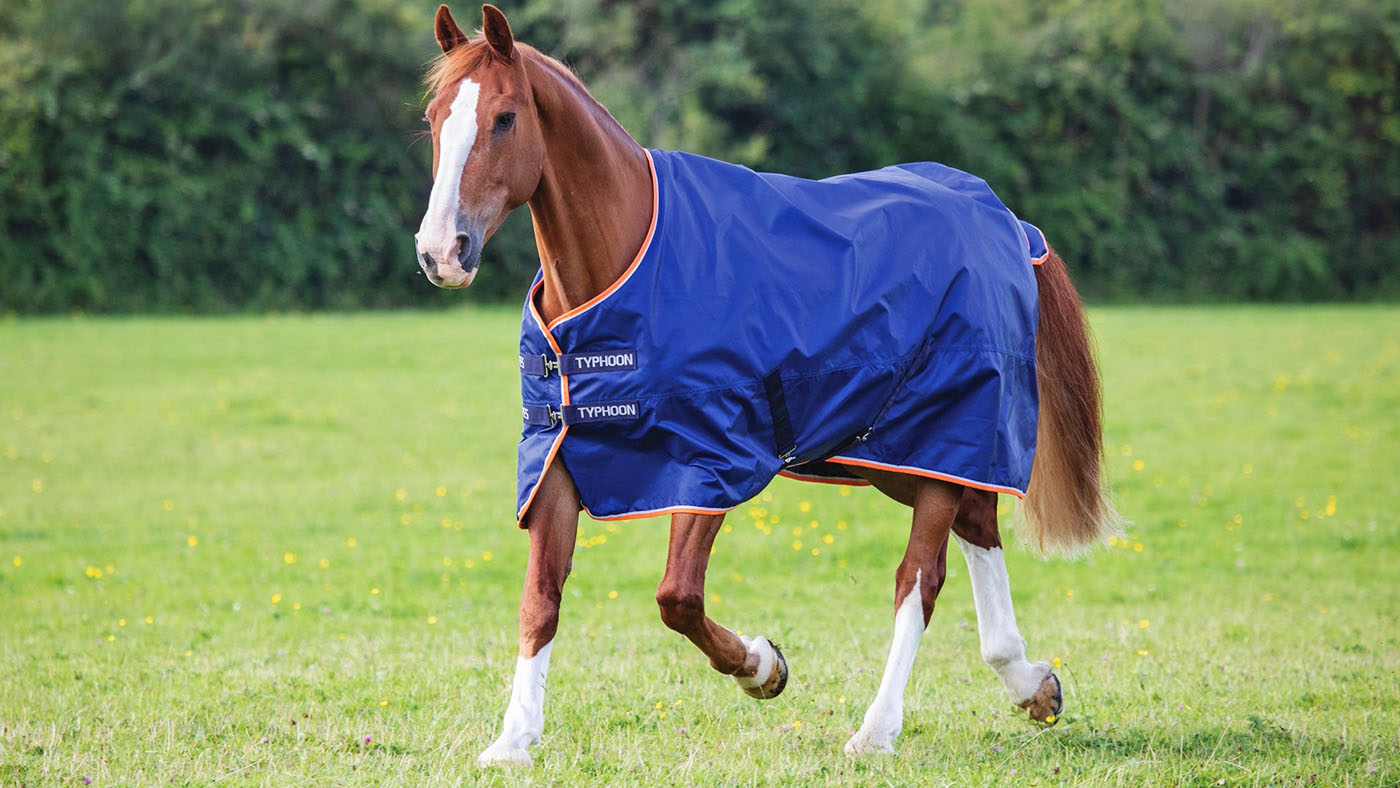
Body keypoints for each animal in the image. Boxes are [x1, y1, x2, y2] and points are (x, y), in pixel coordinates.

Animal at [414, 4, 1118, 766]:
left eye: (505, 117)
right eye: (434, 117)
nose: (441, 252)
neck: (628, 267)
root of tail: (1003, 220)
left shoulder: (711, 457)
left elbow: (677, 598)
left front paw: (763, 668)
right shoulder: (557, 454)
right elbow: (540, 600)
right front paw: (513, 740)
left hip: (938, 433)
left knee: (919, 579)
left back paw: (877, 729)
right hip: (895, 453)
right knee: (977, 524)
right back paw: (1031, 684)